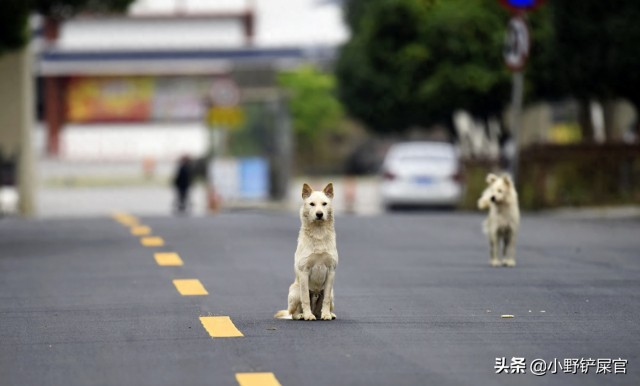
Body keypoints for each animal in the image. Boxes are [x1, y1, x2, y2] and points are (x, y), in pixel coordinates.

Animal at [274, 182, 338, 322]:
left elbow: (325, 300)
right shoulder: (304, 271)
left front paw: (326, 315)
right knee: (294, 312)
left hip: (332, 293)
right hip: (294, 291)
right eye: (312, 204)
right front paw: (308, 316)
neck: (319, 234)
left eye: (324, 204)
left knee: (323, 306)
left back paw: (328, 314)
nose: (319, 214)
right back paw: (302, 315)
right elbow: (305, 299)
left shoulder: (331, 271)